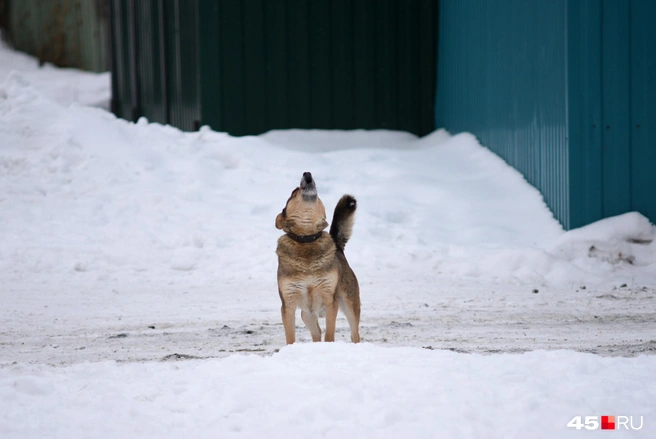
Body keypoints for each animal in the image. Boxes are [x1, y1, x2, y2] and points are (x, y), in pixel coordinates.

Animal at [276, 172, 362, 344]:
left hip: (350, 304)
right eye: (294, 191)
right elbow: (290, 336)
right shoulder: (288, 303)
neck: (307, 239)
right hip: (307, 314)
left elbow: (330, 334)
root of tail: (339, 249)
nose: (307, 174)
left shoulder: (330, 301)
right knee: (316, 333)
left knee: (354, 334)